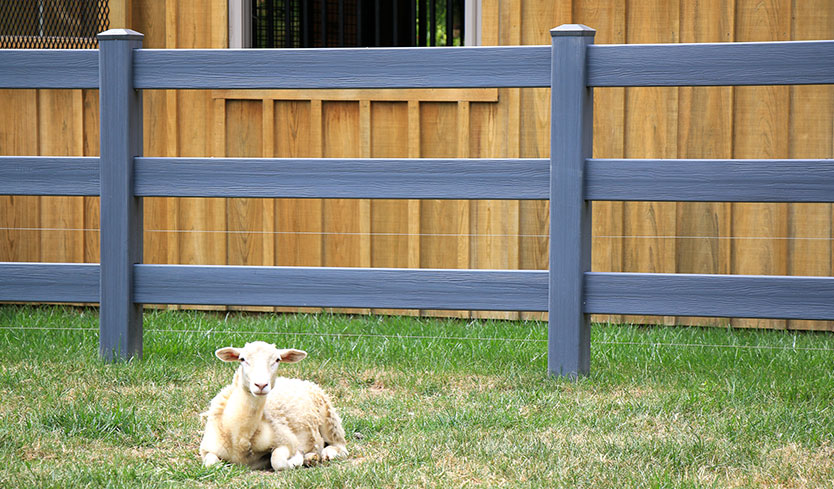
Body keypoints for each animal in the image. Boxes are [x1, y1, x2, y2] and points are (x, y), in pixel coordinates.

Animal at [198, 340, 348, 468]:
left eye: (277, 360)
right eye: (242, 359)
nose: (261, 385)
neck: (239, 436)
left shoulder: (286, 439)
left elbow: (277, 461)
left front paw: (297, 459)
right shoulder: (207, 448)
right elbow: (211, 464)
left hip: (329, 419)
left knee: (340, 446)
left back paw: (327, 454)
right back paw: (311, 457)